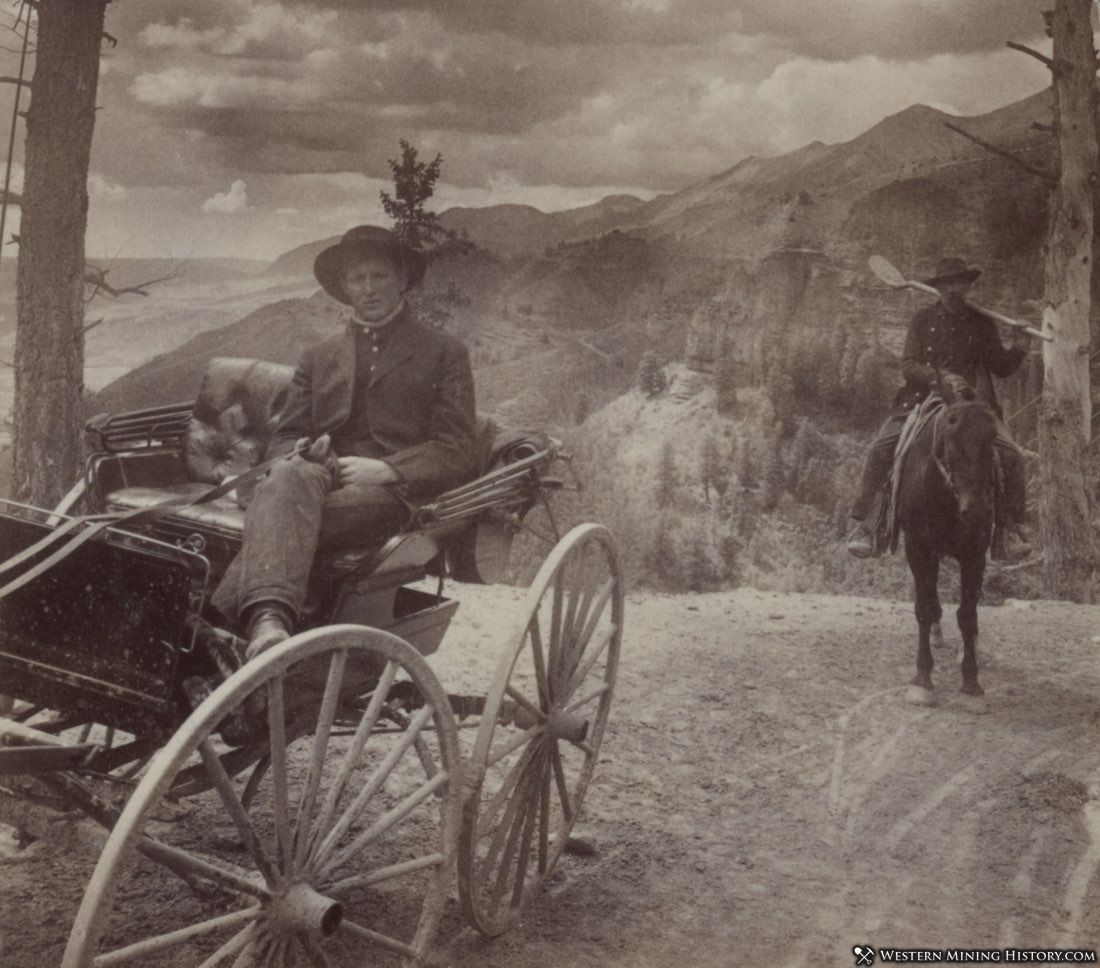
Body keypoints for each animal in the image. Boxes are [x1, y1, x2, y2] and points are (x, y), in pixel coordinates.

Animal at [897, 393, 1003, 712]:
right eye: (951, 440)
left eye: (993, 439)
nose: (979, 512)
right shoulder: (918, 548)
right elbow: (923, 608)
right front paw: (922, 680)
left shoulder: (974, 554)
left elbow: (968, 615)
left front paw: (971, 685)